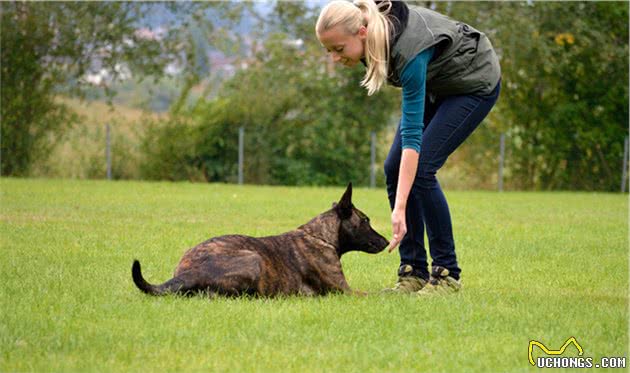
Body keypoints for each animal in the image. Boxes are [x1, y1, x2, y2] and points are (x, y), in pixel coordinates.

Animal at [132, 183, 390, 296]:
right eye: (366, 220)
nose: (387, 242)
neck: (321, 236)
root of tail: (191, 272)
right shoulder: (345, 291)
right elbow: (377, 295)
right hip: (253, 259)